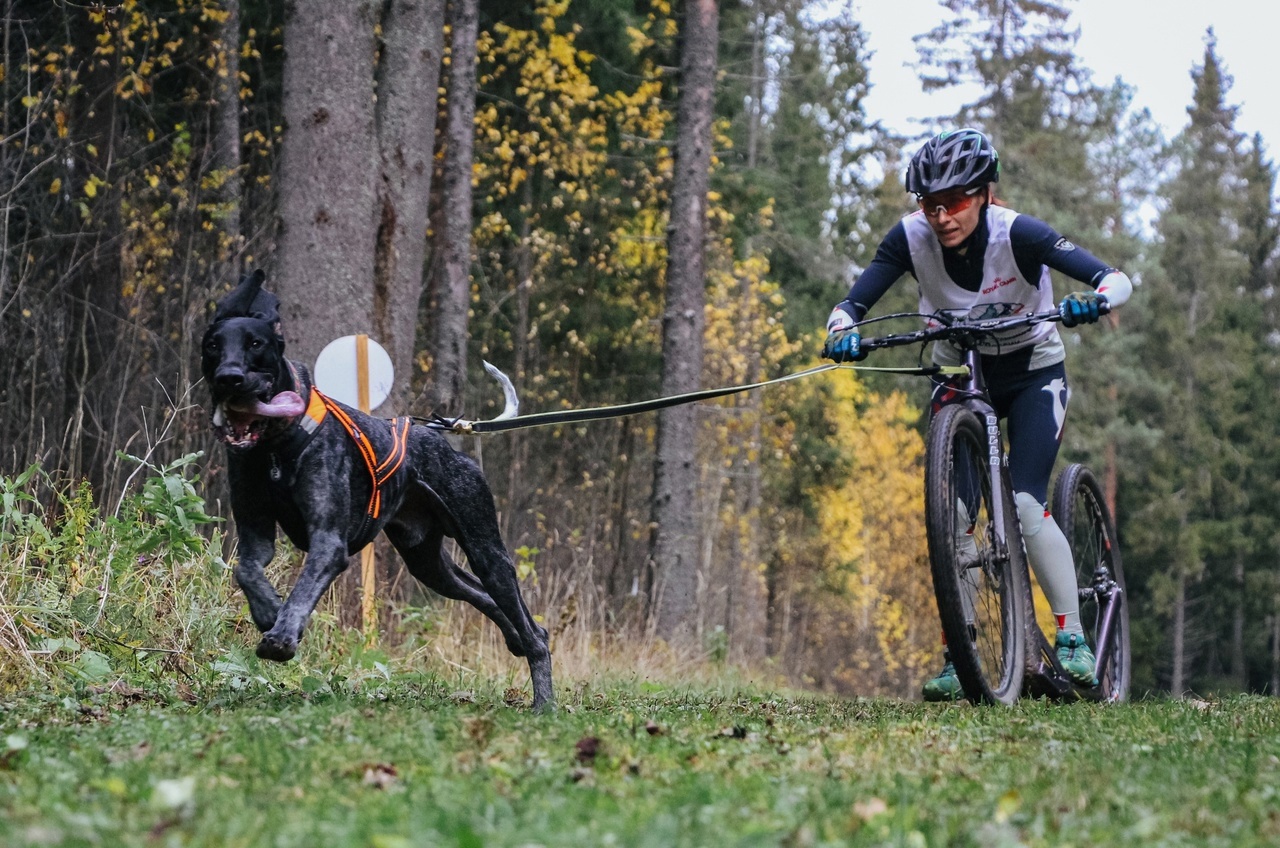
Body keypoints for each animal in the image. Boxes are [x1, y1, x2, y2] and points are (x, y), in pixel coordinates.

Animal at [202, 272, 552, 712]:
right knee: (492, 602)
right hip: (430, 565)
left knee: (532, 630)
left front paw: (282, 635)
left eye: (255, 344)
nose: (228, 378)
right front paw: (268, 611)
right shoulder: (255, 536)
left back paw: (544, 702)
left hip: (487, 552)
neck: (274, 449)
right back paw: (516, 640)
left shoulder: (329, 541)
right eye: (213, 345)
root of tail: (439, 435)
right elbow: (246, 569)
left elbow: (302, 590)